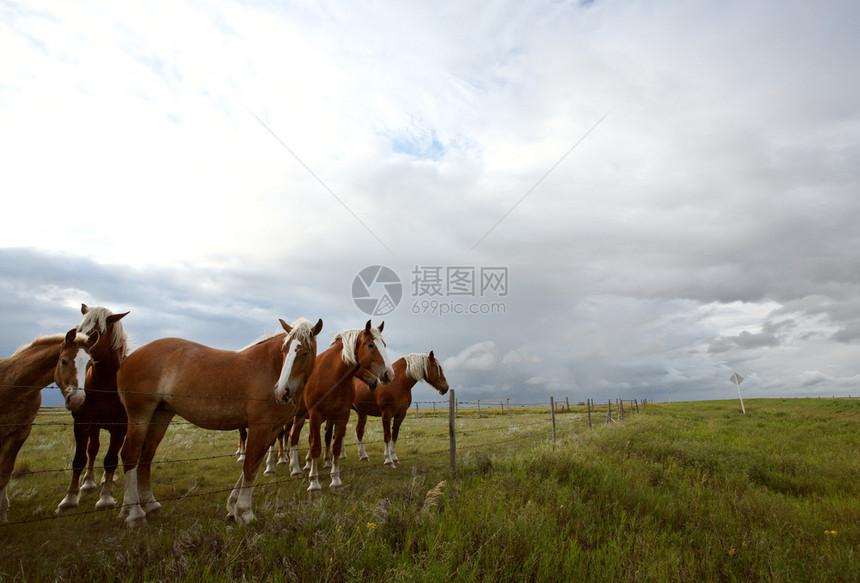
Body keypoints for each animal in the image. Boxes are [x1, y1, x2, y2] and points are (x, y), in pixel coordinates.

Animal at [0, 328, 96, 524]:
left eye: (89, 363)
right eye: (64, 361)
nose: (77, 399)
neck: (14, 384)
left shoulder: (21, 431)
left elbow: (5, 471)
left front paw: (2, 514)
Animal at [58, 306, 131, 516]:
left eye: (98, 332)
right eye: (79, 327)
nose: (75, 344)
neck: (105, 384)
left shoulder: (120, 427)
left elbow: (111, 460)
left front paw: (105, 498)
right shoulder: (82, 422)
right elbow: (80, 459)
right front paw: (70, 498)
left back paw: (108, 480)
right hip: (94, 426)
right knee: (93, 449)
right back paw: (89, 482)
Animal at [117, 318, 322, 528]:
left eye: (305, 352)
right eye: (284, 350)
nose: (281, 392)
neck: (271, 367)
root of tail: (129, 358)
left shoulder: (273, 429)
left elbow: (254, 463)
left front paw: (233, 507)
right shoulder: (260, 426)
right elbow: (250, 466)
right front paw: (245, 512)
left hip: (160, 415)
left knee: (146, 455)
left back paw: (150, 505)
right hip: (140, 415)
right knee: (130, 454)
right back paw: (135, 514)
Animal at [288, 322, 396, 490]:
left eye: (384, 344)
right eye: (370, 345)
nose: (388, 374)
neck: (332, 377)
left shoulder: (341, 416)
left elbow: (336, 446)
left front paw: (336, 481)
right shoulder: (316, 416)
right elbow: (315, 447)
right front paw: (314, 483)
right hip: (300, 415)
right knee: (293, 437)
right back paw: (295, 469)